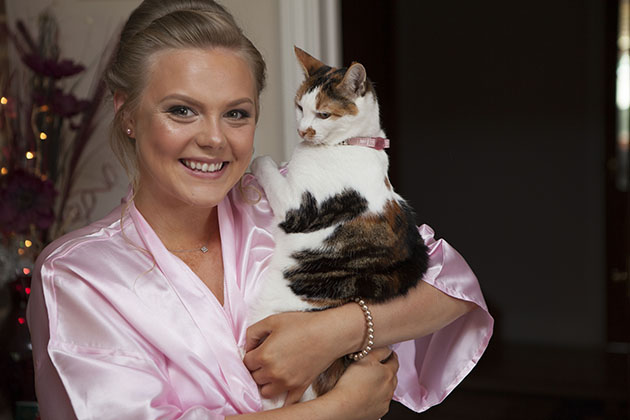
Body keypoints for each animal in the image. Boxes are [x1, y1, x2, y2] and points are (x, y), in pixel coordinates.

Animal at [249, 47, 432, 408]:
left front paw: (257, 160)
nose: (303, 131)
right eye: (300, 107)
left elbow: (266, 165)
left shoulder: (297, 207)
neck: (351, 143)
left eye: (324, 114)